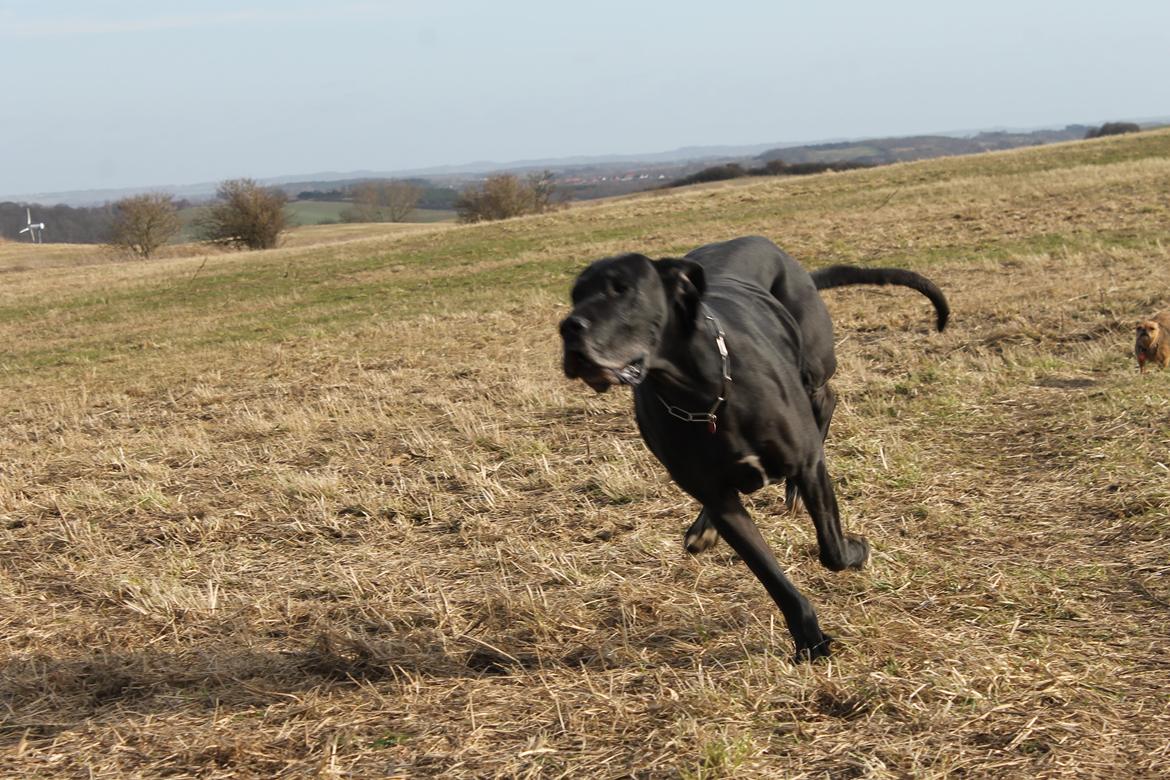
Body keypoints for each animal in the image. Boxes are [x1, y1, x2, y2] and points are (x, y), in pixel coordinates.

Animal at [559, 235, 950, 664]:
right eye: (575, 295)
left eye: (622, 289)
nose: (568, 328)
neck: (702, 393)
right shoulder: (720, 500)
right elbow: (771, 576)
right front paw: (810, 641)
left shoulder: (809, 464)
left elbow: (831, 549)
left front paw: (855, 550)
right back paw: (704, 529)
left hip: (814, 366)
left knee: (826, 400)